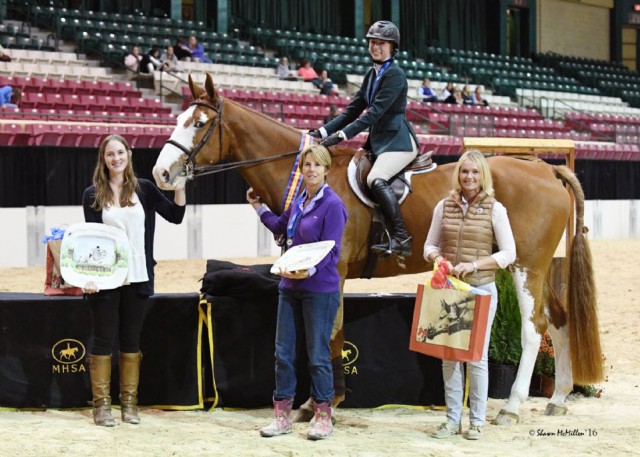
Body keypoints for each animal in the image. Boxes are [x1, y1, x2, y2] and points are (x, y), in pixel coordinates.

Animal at [152, 75, 604, 424]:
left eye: (198, 123)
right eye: (177, 119)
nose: (161, 173)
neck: (309, 178)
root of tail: (545, 168)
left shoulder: (331, 271)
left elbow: (329, 334)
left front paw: (324, 403)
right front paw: (317, 402)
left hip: (526, 266)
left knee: (535, 328)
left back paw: (511, 407)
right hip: (539, 268)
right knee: (559, 320)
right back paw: (558, 398)